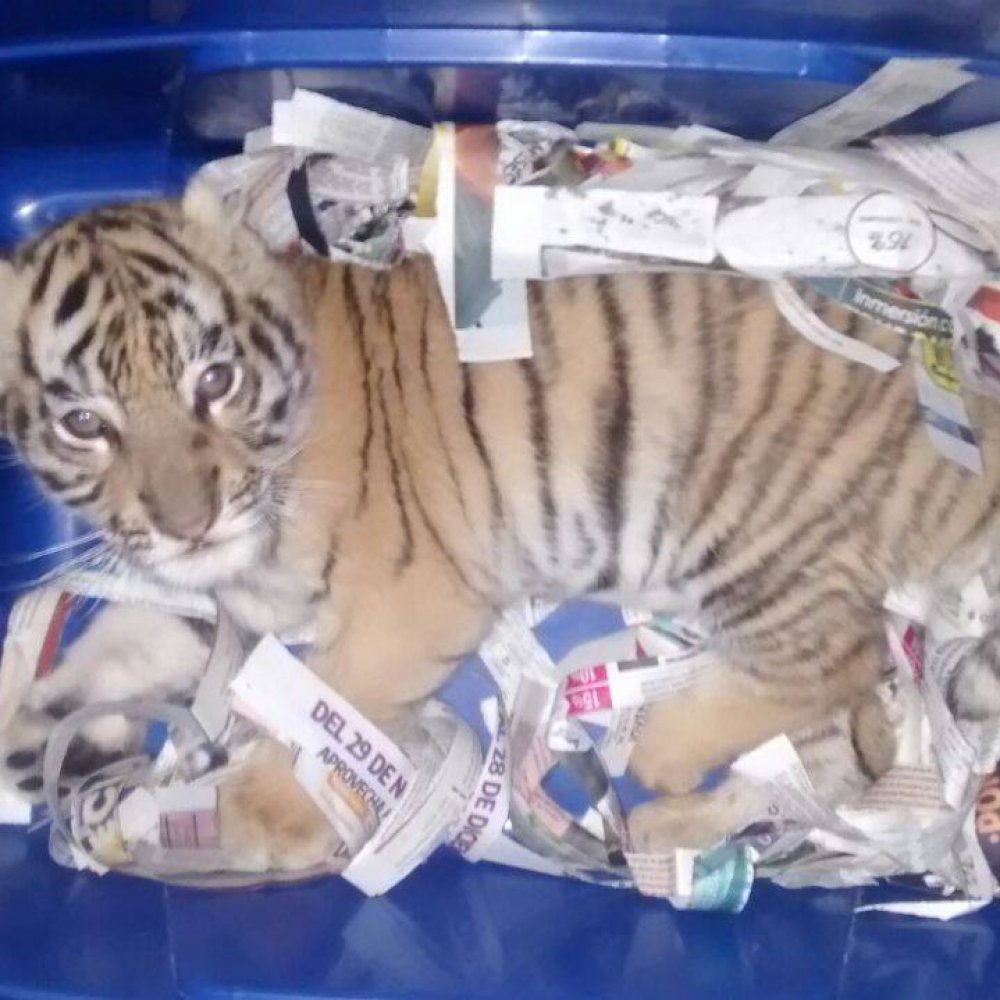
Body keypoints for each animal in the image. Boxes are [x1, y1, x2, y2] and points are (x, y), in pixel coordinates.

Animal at [0, 177, 997, 873]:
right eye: (84, 423)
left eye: (214, 381)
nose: (189, 523)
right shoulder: (233, 609)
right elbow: (117, 649)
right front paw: (35, 731)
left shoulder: (409, 601)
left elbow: (328, 704)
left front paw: (251, 815)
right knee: (836, 762)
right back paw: (673, 829)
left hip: (748, 529)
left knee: (837, 658)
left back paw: (665, 755)